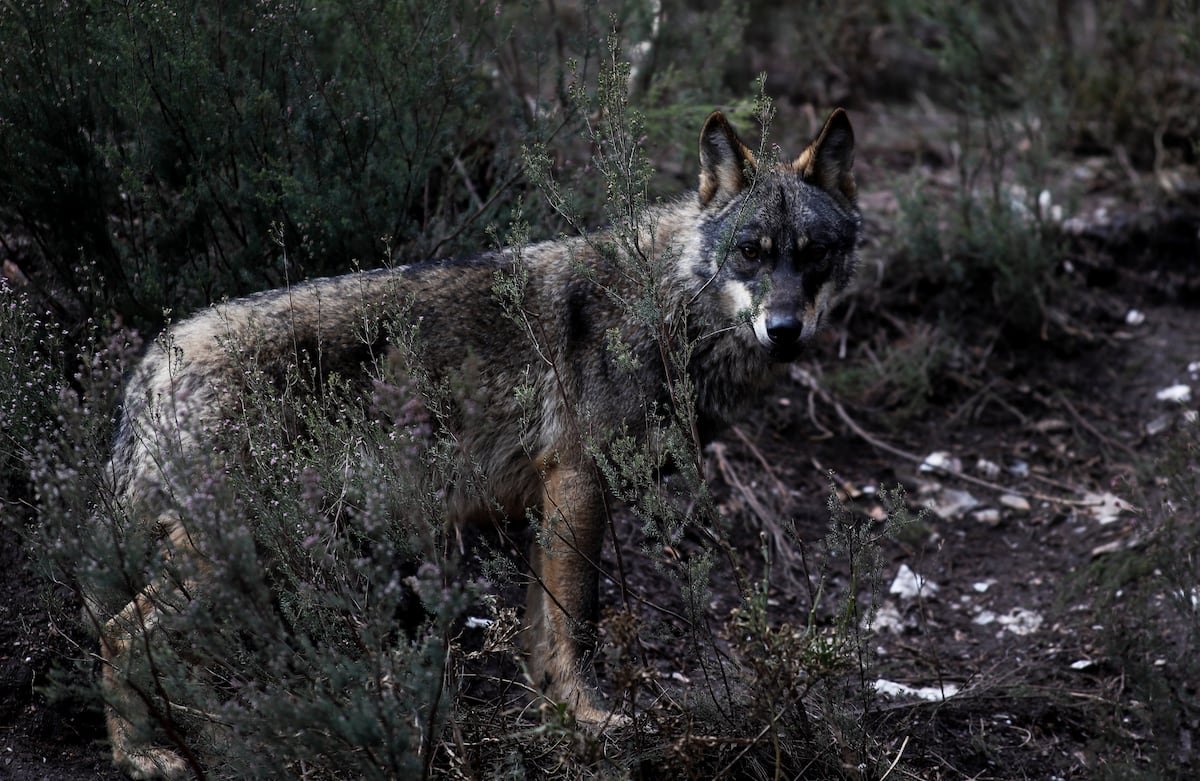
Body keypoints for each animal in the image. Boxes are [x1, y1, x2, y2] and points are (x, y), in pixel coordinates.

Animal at [98, 107, 860, 778]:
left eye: (815, 256)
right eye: (750, 252)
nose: (784, 329)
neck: (662, 304)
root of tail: (155, 360)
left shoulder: (549, 502)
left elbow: (539, 631)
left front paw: (557, 717)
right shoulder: (578, 481)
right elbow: (575, 622)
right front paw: (592, 719)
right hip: (230, 551)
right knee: (118, 630)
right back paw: (145, 754)